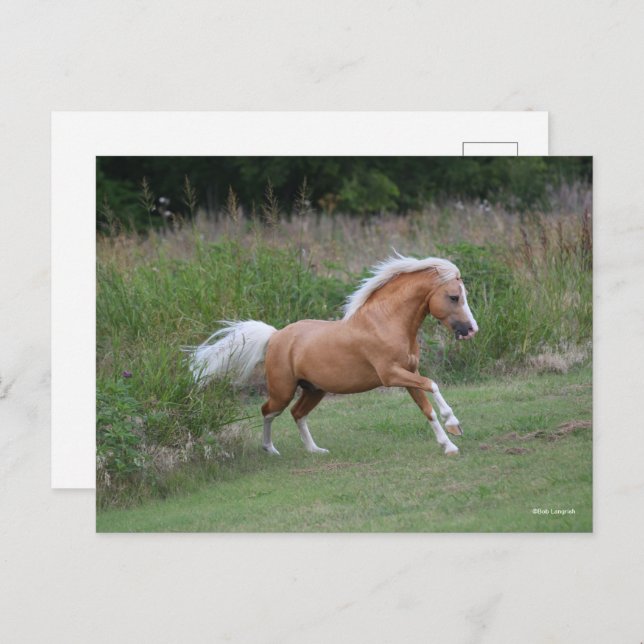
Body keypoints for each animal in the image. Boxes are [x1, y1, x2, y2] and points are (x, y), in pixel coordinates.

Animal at [189, 253, 478, 456]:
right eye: (454, 297)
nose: (471, 330)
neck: (385, 322)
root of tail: (276, 336)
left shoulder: (409, 374)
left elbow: (426, 409)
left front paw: (449, 444)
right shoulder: (392, 375)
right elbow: (433, 384)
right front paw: (454, 424)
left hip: (314, 389)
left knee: (297, 413)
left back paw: (315, 450)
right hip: (283, 390)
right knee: (268, 411)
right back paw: (270, 449)